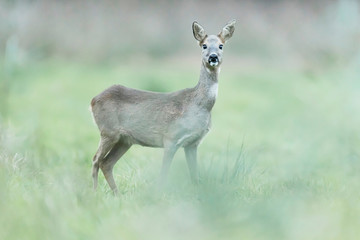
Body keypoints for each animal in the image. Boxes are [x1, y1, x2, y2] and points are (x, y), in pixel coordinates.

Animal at [91, 19, 235, 194]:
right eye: (204, 45)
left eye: (221, 45)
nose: (213, 57)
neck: (199, 106)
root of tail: (93, 100)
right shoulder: (171, 138)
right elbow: (164, 174)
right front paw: (158, 195)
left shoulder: (192, 143)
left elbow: (195, 177)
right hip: (108, 131)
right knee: (96, 159)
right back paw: (94, 192)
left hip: (124, 140)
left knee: (106, 163)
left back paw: (116, 194)